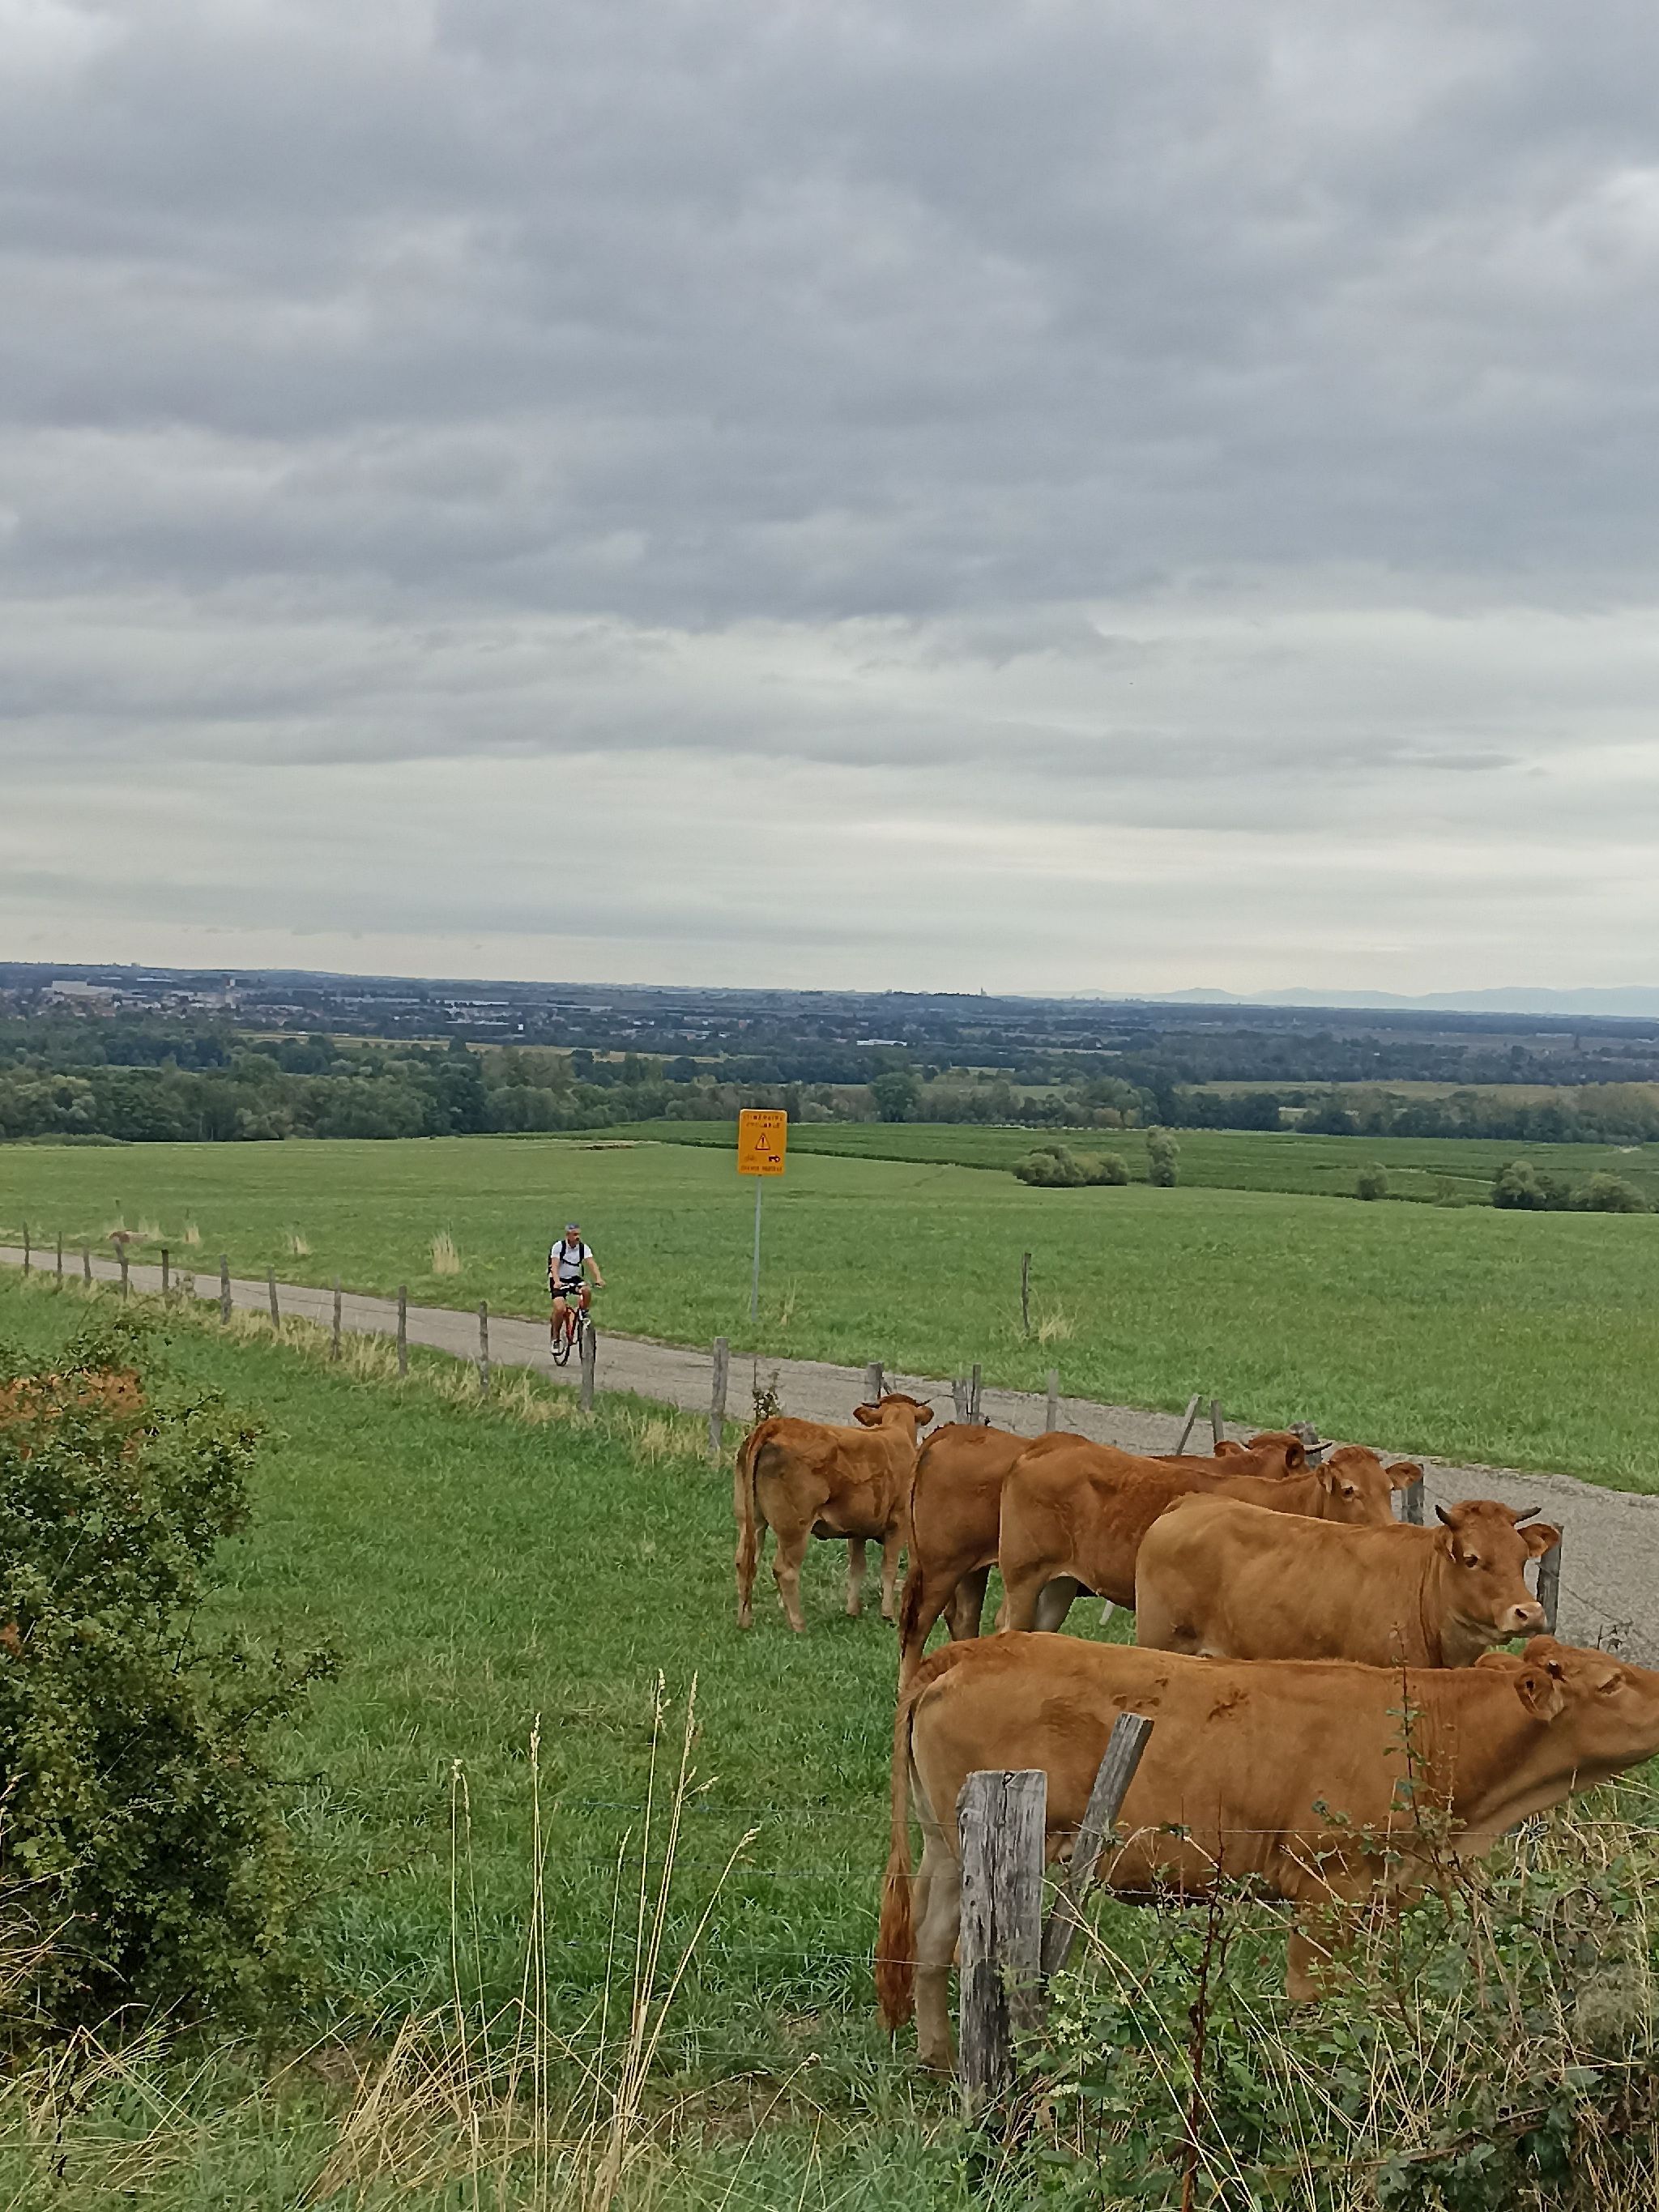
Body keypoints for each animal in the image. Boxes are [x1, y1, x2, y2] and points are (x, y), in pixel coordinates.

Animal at [735, 1394, 934, 1632]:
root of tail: (776, 1425)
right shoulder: (899, 1523)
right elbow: (889, 1568)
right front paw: (889, 1615)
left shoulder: (858, 1528)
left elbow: (857, 1567)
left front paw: (853, 1611)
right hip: (794, 1528)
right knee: (785, 1570)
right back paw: (799, 1624)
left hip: (751, 1519)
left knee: (745, 1562)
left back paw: (745, 1620)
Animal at [875, 1632, 1659, 2067]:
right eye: (1613, 1681)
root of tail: (976, 1645)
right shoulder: (1330, 1886)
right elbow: (1314, 1998)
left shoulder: (1378, 1895)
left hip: (948, 1846)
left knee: (932, 1945)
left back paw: (936, 2059)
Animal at [997, 1437, 1418, 1631]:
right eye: (1348, 1490)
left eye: (1388, 1489)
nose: (1390, 1528)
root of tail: (1050, 1442)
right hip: (1023, 1577)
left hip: (1060, 1585)